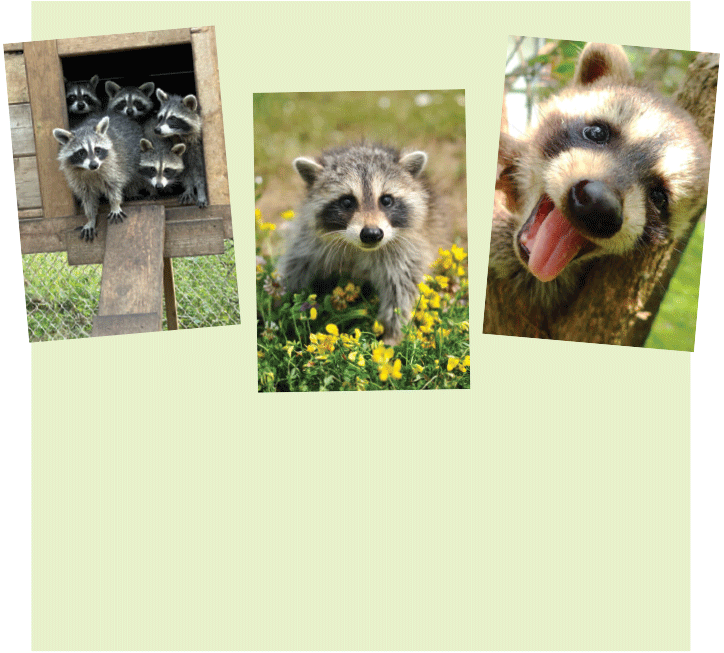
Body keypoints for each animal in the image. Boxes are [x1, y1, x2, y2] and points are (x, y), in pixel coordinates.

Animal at [52, 113, 145, 241]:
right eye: (81, 153)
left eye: (97, 150)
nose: (94, 165)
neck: (89, 171)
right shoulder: (77, 179)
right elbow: (88, 198)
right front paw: (91, 218)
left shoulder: (113, 166)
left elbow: (114, 186)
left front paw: (115, 204)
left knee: (135, 175)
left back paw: (133, 191)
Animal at [279, 143, 443, 345]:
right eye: (347, 201)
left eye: (386, 200)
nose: (371, 234)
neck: (358, 247)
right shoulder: (309, 241)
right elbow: (296, 268)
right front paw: (280, 304)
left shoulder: (407, 250)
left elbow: (401, 291)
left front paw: (392, 334)